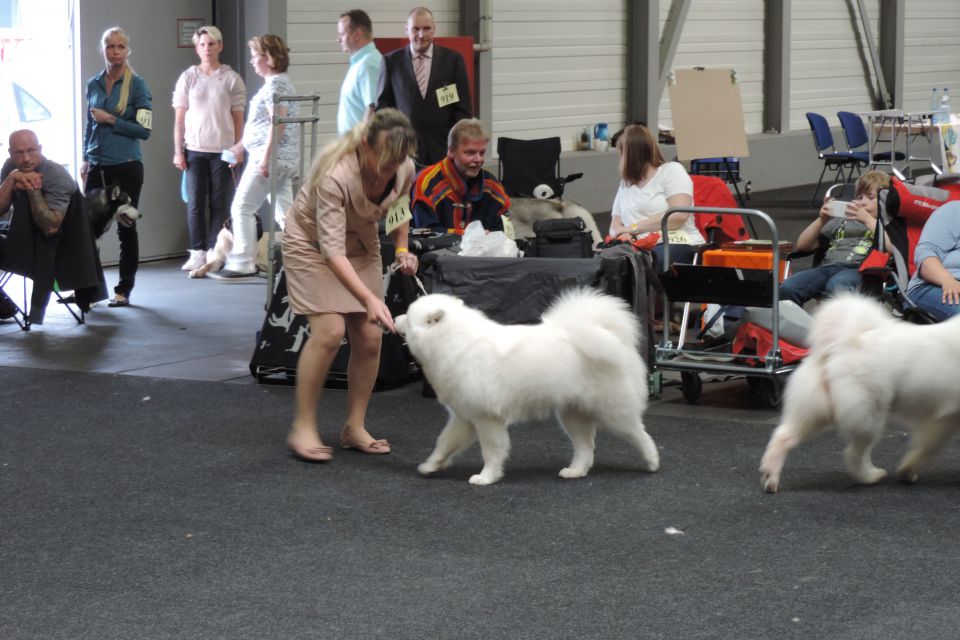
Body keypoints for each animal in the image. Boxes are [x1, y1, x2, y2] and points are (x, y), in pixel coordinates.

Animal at [396, 288, 660, 482]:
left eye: (407, 316)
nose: (394, 317)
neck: (453, 342)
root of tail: (614, 338)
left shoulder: (486, 418)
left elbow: (491, 451)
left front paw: (486, 477)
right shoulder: (465, 417)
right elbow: (444, 442)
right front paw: (431, 465)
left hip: (612, 411)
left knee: (639, 432)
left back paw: (652, 461)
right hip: (573, 415)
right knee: (585, 447)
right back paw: (575, 471)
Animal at [760, 292, 960, 492]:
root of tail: (842, 343)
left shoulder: (942, 419)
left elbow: (926, 446)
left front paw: (907, 470)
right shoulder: (945, 417)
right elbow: (928, 448)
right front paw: (907, 470)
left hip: (817, 409)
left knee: (784, 435)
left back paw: (770, 476)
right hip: (868, 416)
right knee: (854, 454)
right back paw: (871, 476)